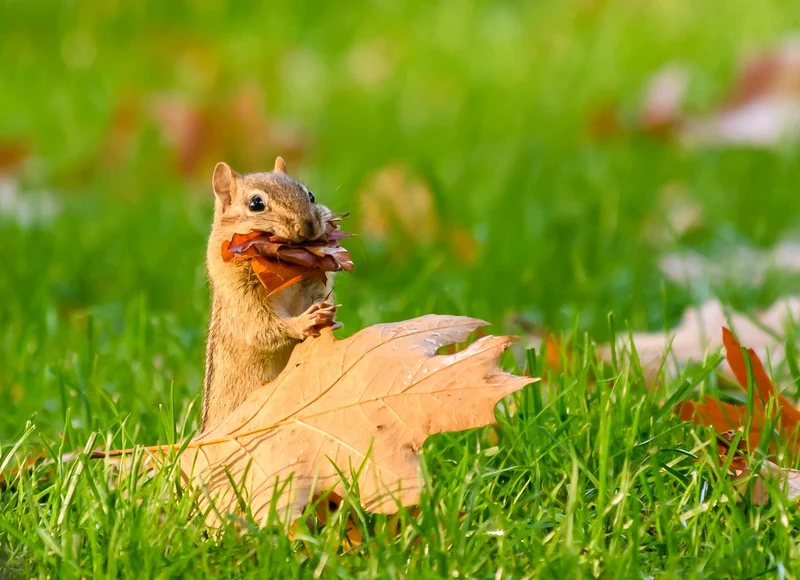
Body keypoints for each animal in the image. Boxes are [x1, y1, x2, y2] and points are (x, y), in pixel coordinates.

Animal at [201, 157, 339, 431]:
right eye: (256, 204)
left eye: (311, 195)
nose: (308, 226)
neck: (285, 268)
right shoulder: (241, 300)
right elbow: (263, 328)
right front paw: (303, 322)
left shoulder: (314, 284)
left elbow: (320, 299)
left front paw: (329, 316)